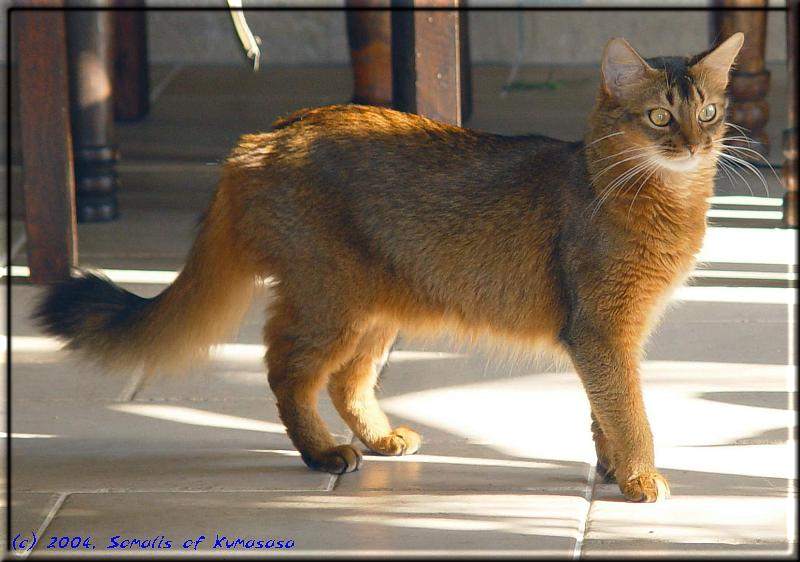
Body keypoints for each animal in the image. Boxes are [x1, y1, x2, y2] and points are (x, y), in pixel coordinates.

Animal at [32, 32, 744, 500]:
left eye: (708, 112)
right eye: (659, 117)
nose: (694, 143)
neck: (657, 198)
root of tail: (264, 135)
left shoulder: (610, 336)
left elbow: (605, 413)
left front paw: (610, 470)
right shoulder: (601, 329)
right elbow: (631, 413)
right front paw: (641, 476)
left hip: (378, 308)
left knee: (346, 381)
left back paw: (379, 440)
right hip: (331, 301)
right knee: (287, 370)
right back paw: (322, 453)